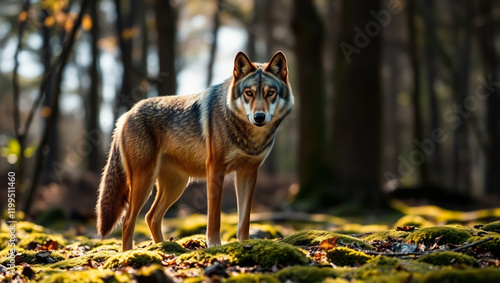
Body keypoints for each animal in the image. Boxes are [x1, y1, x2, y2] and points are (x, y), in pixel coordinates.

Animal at [95, 50, 292, 251]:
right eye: (249, 93)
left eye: (270, 93)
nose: (259, 117)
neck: (250, 137)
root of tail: (126, 115)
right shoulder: (215, 169)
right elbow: (214, 216)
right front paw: (214, 244)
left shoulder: (249, 172)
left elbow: (244, 219)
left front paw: (246, 244)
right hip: (145, 182)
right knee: (128, 220)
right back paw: (128, 254)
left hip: (176, 185)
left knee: (151, 217)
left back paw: (165, 248)